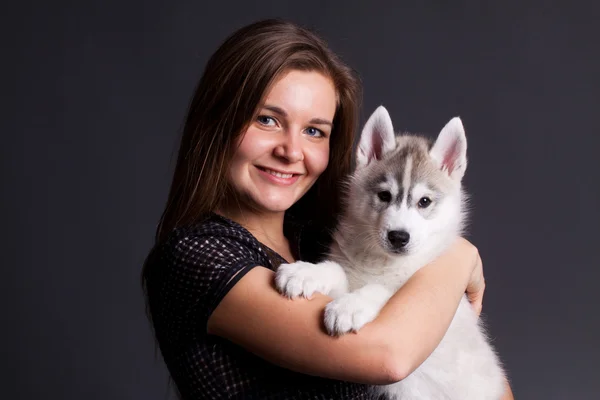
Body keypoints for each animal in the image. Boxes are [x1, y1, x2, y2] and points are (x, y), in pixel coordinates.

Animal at [276, 107, 506, 400]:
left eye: (424, 202)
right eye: (384, 196)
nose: (398, 236)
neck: (383, 263)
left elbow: (384, 290)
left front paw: (349, 306)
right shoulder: (351, 274)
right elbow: (335, 269)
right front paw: (305, 272)